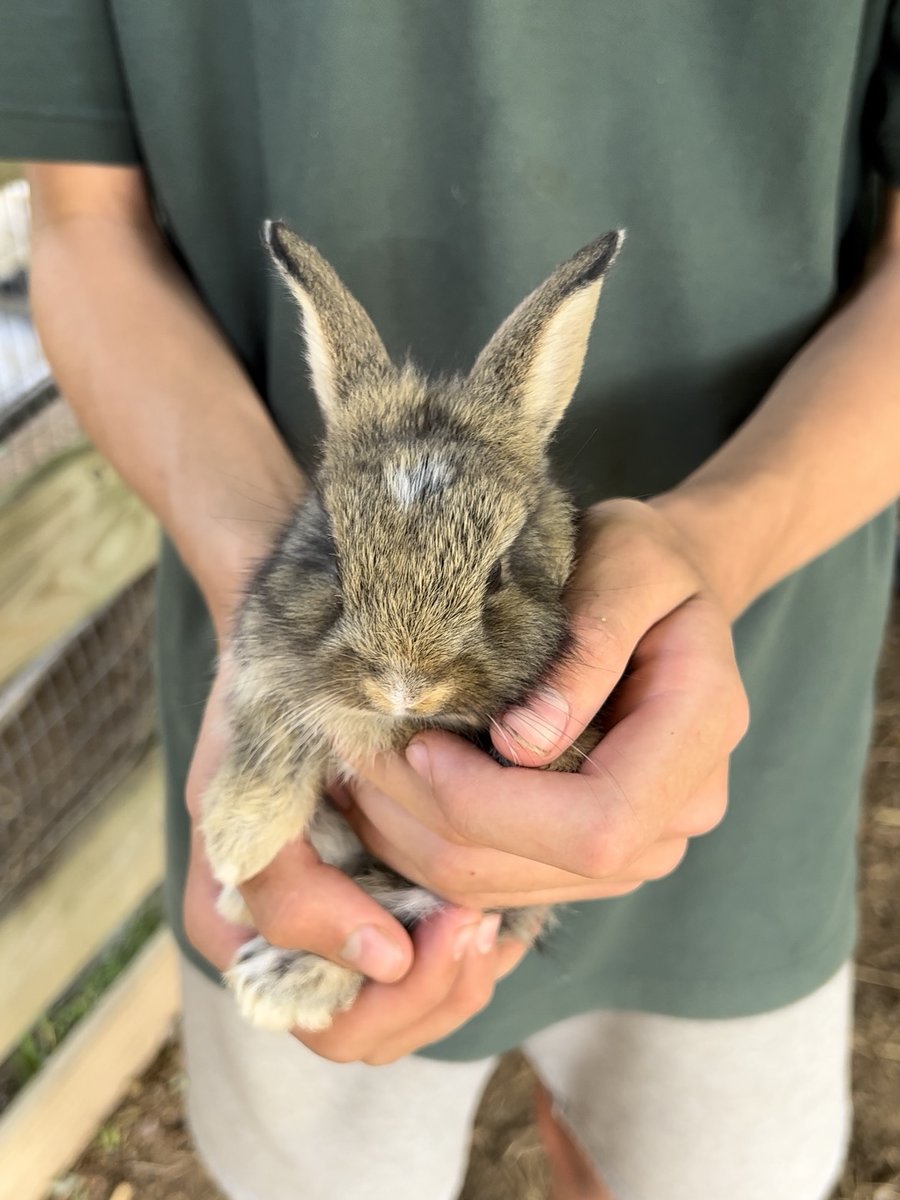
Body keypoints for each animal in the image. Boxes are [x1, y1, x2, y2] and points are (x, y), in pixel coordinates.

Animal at [201, 220, 624, 1033]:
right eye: (333, 556)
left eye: (500, 571)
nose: (404, 686)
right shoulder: (264, 659)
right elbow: (273, 735)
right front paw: (237, 842)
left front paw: (237, 865)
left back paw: (281, 978)